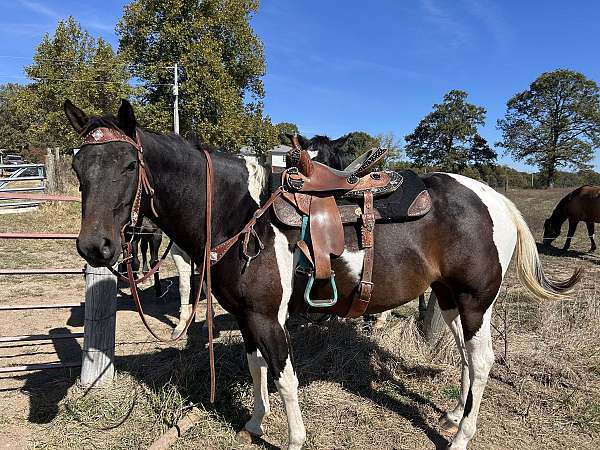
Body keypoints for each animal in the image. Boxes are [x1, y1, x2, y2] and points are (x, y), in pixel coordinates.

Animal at [63, 99, 580, 450]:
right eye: (77, 166)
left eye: (129, 164)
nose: (95, 247)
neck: (237, 212)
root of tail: (495, 199)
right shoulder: (248, 316)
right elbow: (256, 368)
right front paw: (254, 423)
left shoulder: (269, 318)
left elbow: (285, 377)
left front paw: (293, 438)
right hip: (451, 298)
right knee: (468, 358)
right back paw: (454, 414)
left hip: (475, 300)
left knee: (482, 359)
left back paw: (460, 436)